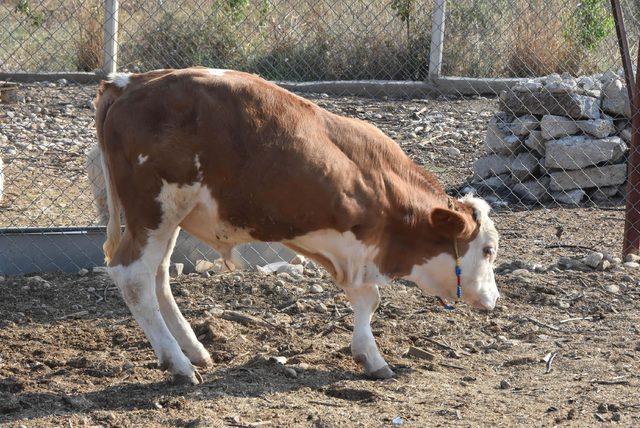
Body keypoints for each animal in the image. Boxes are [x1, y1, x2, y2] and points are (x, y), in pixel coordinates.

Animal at [94, 67, 500, 384]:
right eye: (488, 250)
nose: (495, 299)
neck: (377, 179)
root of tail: (129, 82)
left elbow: (364, 297)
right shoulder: (355, 243)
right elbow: (369, 298)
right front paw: (372, 357)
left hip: (170, 216)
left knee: (158, 274)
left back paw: (194, 350)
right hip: (153, 209)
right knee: (133, 274)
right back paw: (178, 364)